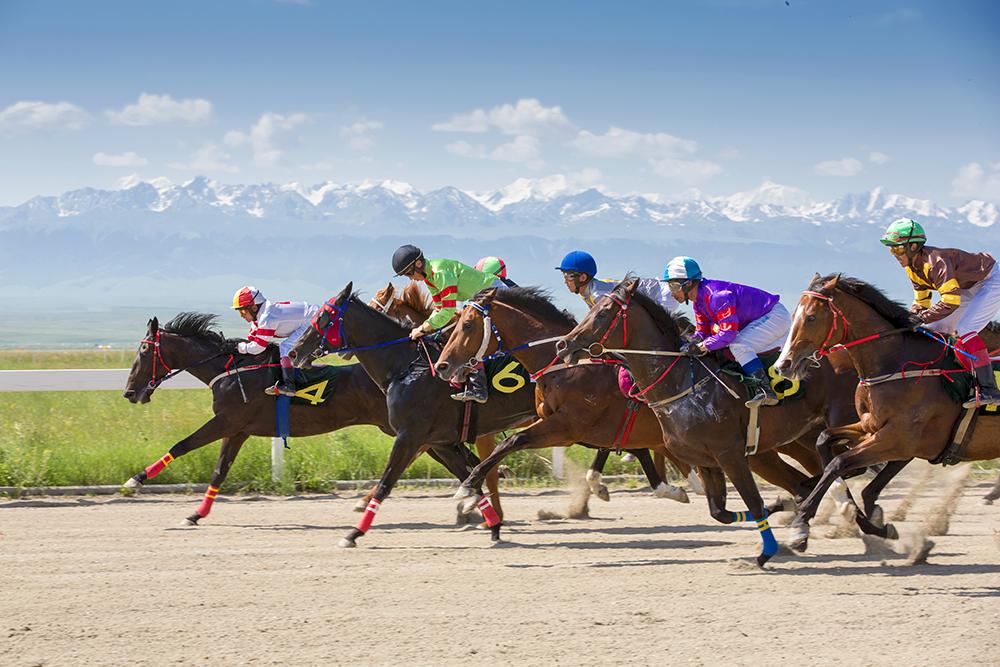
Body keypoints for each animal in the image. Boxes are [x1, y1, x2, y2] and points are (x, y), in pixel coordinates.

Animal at [290, 282, 540, 548]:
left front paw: (354, 533)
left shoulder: (410, 435)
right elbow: (470, 475)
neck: (407, 367)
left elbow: (386, 482)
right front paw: (491, 522)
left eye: (323, 316)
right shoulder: (439, 441)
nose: (294, 352)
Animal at [560, 280, 864, 568]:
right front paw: (787, 507)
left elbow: (754, 503)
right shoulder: (706, 460)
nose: (564, 344)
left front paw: (765, 553)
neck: (682, 382)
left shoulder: (729, 454)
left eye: (603, 312)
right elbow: (721, 513)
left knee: (851, 466)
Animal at [776, 274, 1000, 552]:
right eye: (794, 314)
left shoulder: (898, 439)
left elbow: (840, 463)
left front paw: (801, 525)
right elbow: (826, 442)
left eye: (811, 317)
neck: (895, 363)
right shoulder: (870, 427)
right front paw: (861, 515)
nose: (783, 365)